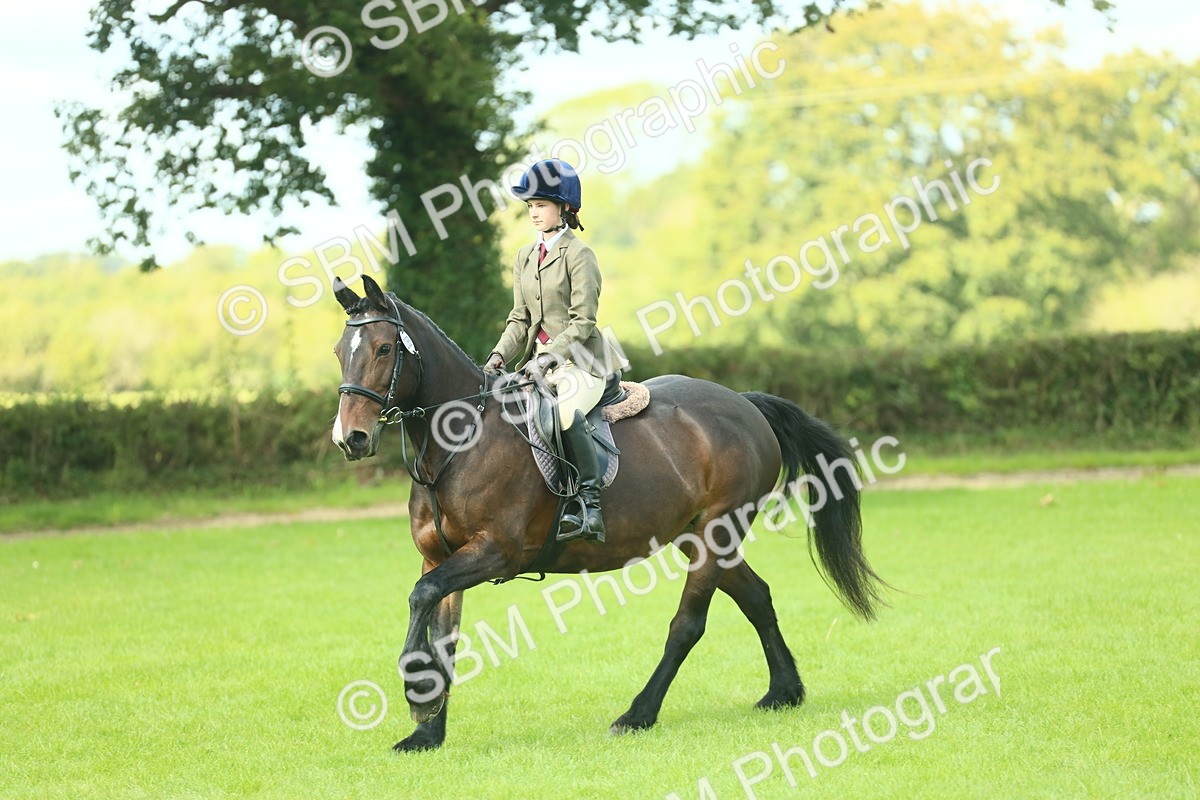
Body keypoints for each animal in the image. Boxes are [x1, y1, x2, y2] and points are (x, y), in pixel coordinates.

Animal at [330, 274, 887, 752]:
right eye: (340, 352)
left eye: (384, 349)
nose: (349, 439)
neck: (460, 441)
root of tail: (745, 403)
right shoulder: (439, 557)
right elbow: (441, 630)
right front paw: (427, 730)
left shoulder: (496, 552)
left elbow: (421, 597)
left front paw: (416, 694)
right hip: (699, 536)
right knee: (756, 597)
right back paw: (784, 691)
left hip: (718, 530)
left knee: (688, 624)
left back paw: (638, 714)